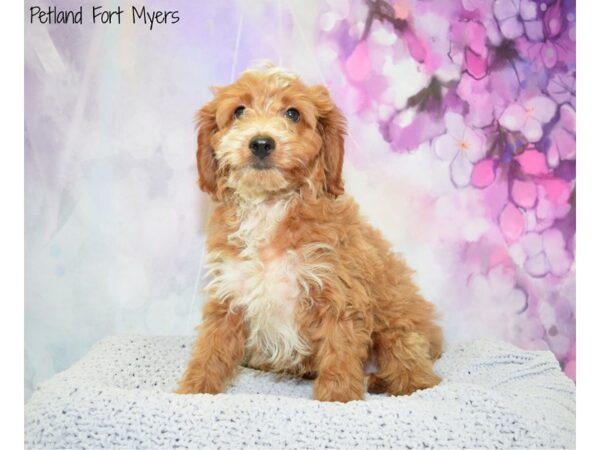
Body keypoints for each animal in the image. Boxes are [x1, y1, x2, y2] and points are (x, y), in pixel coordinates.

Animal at [176, 66, 442, 400]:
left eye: (293, 113)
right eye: (239, 111)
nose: (261, 143)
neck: (270, 205)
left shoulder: (339, 293)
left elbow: (339, 352)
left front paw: (339, 398)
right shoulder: (230, 292)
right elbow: (211, 349)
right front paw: (194, 389)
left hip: (399, 321)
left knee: (412, 365)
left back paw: (388, 380)